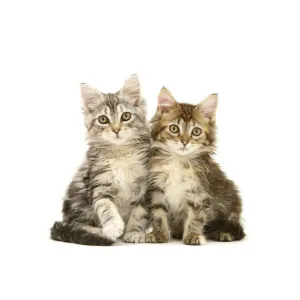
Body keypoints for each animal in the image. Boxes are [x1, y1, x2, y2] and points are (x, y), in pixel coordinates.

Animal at [51, 75, 151, 246]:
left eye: (126, 116)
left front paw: (134, 232)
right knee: (76, 225)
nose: (116, 130)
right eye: (103, 119)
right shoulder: (99, 184)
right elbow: (106, 207)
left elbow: (139, 213)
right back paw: (100, 233)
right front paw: (113, 227)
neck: (119, 154)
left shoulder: (144, 185)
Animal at [146, 87, 246, 246]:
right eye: (174, 128)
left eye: (196, 131)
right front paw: (159, 233)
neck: (179, 160)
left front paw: (193, 235)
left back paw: (224, 233)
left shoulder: (199, 192)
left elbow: (195, 217)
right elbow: (158, 213)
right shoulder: (157, 187)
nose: (184, 141)